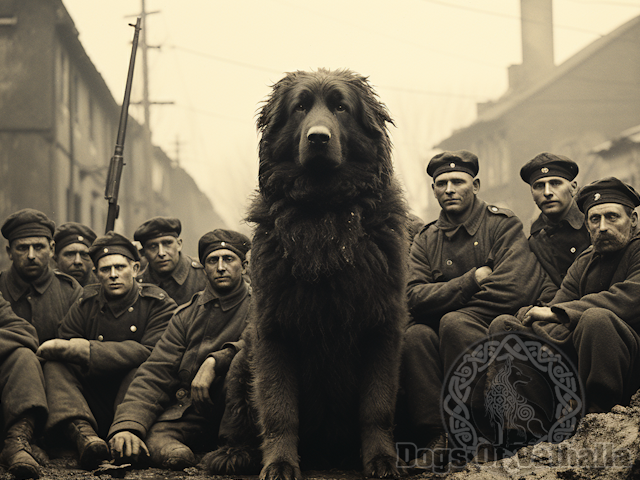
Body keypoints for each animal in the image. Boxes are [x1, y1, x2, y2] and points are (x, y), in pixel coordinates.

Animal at [205, 69, 410, 478]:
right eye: (300, 107)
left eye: (341, 108)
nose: (318, 137)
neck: (323, 214)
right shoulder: (274, 330)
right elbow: (278, 408)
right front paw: (280, 463)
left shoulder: (383, 326)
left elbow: (376, 405)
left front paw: (382, 460)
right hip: (241, 360)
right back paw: (233, 454)